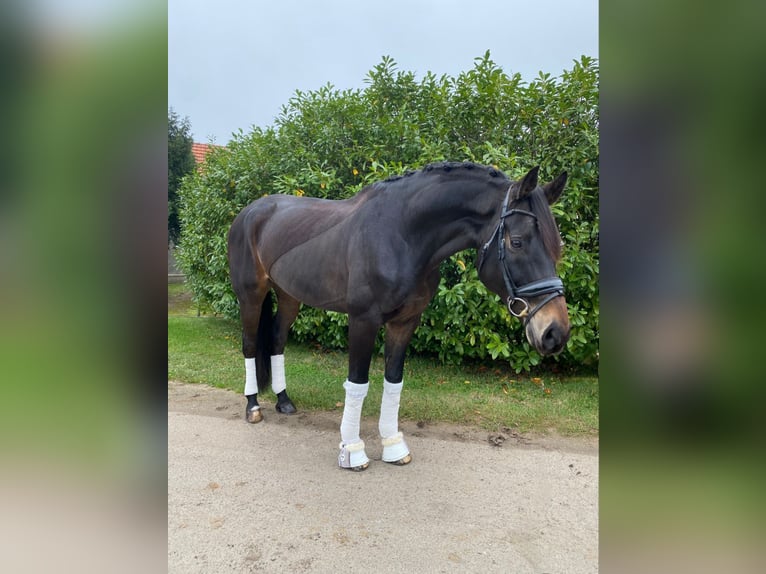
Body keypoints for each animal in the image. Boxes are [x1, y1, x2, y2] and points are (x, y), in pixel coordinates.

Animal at [228, 162, 568, 472]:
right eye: (517, 242)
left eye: (557, 246)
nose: (555, 332)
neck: (402, 234)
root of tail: (250, 212)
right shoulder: (363, 320)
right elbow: (358, 382)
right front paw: (353, 451)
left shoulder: (405, 322)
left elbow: (393, 381)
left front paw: (393, 447)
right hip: (251, 296)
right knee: (249, 345)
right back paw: (253, 406)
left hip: (289, 296)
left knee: (276, 341)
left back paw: (284, 400)